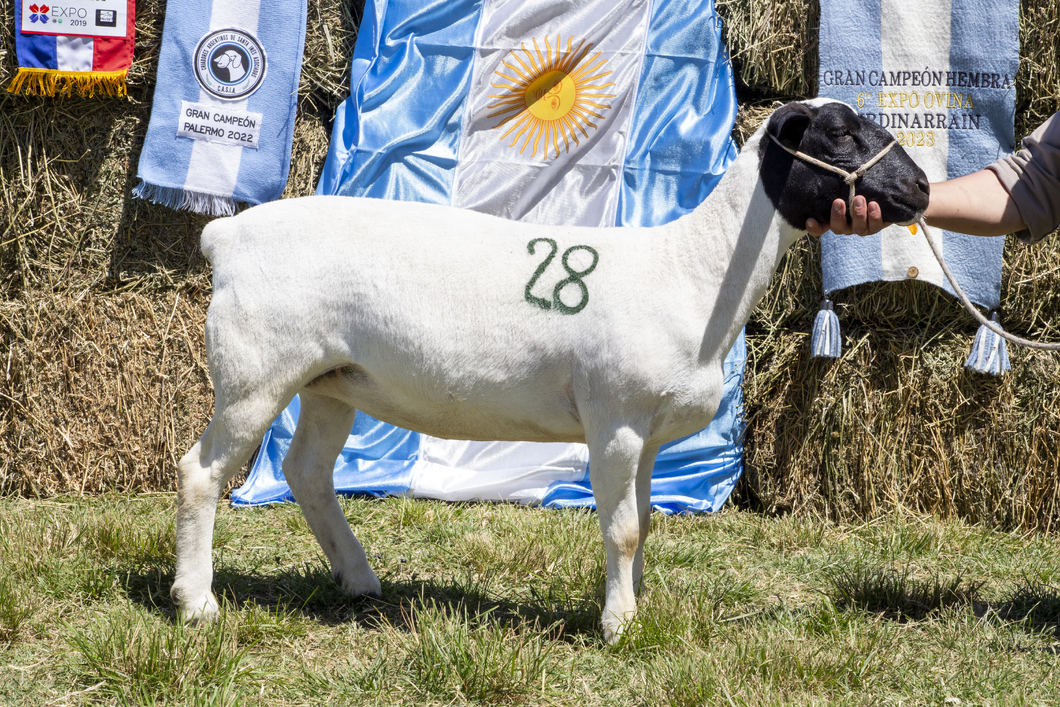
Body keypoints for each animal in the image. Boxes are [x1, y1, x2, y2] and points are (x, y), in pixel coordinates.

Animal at [171, 98, 929, 643]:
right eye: (839, 133)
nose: (921, 186)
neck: (695, 267)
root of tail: (226, 236)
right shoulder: (615, 418)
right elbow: (622, 528)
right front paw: (618, 626)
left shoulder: (647, 433)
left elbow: (641, 522)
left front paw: (633, 602)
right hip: (255, 370)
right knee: (201, 472)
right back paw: (196, 602)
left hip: (330, 379)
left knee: (306, 470)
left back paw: (359, 579)